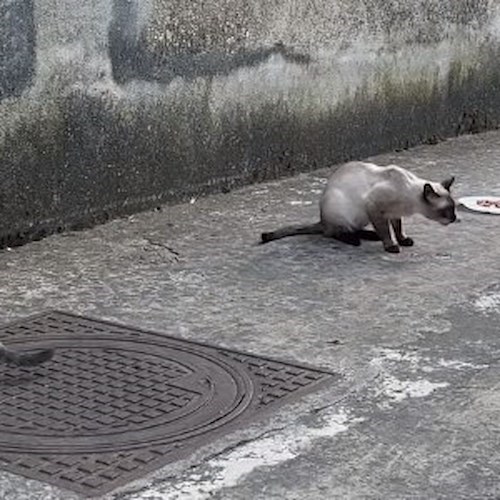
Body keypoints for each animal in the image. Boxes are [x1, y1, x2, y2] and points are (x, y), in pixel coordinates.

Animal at [262, 162, 458, 252]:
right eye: (447, 211)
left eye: (454, 209)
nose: (455, 218)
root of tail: (321, 219)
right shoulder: (375, 208)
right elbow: (386, 231)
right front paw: (391, 246)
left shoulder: (393, 214)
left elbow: (398, 228)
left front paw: (403, 240)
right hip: (344, 211)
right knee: (333, 232)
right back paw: (355, 240)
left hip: (361, 218)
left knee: (351, 229)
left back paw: (370, 236)